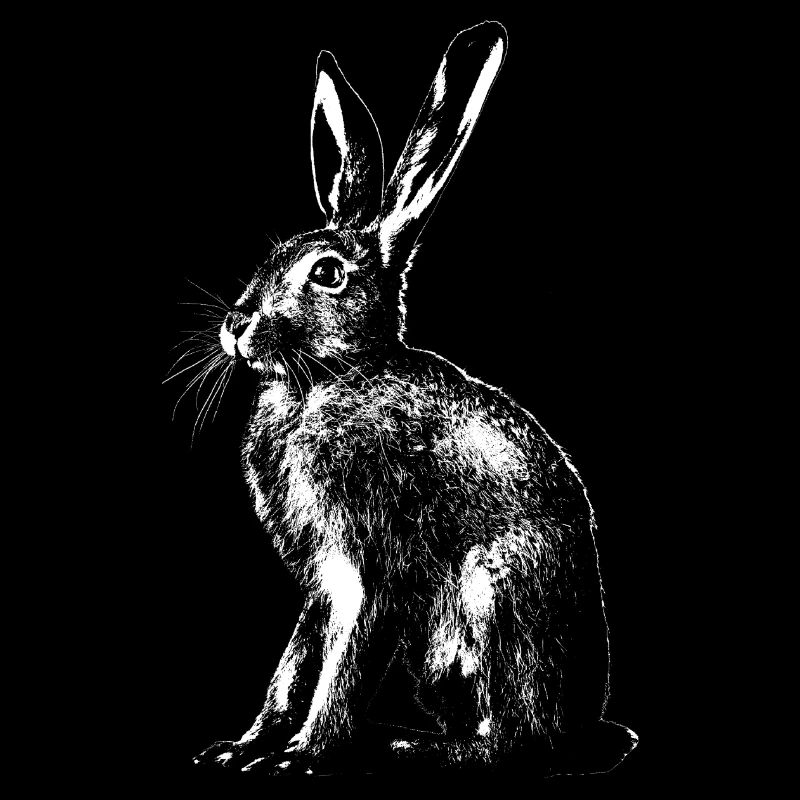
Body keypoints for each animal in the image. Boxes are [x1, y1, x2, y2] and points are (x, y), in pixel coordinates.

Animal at [191, 20, 638, 776]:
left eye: (328, 274)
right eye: (276, 255)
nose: (237, 324)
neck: (334, 375)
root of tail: (584, 722)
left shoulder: (369, 568)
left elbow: (342, 664)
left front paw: (301, 756)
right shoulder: (319, 582)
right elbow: (294, 662)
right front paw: (242, 746)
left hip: (493, 603)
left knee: (515, 742)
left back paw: (415, 747)